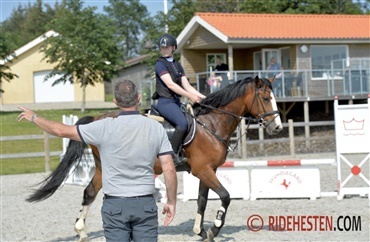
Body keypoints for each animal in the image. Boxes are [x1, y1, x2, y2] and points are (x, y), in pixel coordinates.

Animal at [26, 75, 284, 240]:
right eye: (265, 98)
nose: (278, 127)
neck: (210, 124)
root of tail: (99, 118)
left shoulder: (208, 171)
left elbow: (202, 200)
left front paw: (200, 231)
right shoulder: (203, 170)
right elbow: (226, 196)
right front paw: (215, 228)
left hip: (101, 168)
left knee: (89, 192)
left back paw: (80, 230)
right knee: (93, 192)